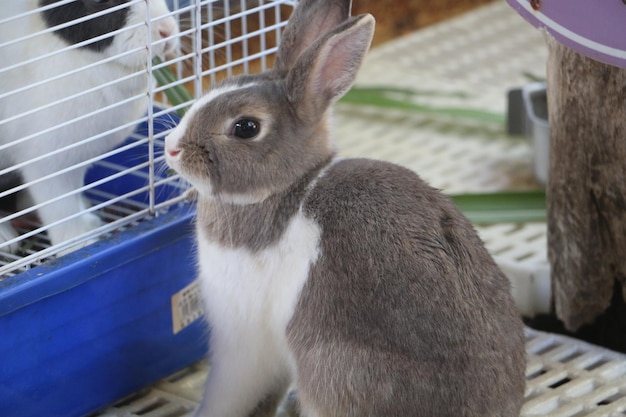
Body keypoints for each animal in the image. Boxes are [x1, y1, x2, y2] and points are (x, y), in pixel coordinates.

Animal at [0, 0, 178, 252]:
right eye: (101, 3)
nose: (166, 30)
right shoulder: (48, 166)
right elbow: (61, 208)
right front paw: (80, 241)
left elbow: (74, 197)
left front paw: (89, 221)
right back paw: (6, 240)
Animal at [163, 0, 524, 412]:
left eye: (246, 127)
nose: (171, 148)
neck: (285, 189)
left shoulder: (244, 338)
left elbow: (230, 394)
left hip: (333, 370)